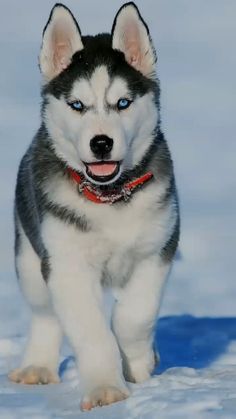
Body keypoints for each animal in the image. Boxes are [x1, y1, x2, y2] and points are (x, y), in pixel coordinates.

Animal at [8, 1, 179, 412]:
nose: (101, 143)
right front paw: (106, 389)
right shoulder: (66, 265)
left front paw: (139, 361)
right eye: (77, 105)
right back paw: (37, 366)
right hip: (29, 257)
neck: (109, 197)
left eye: (123, 103)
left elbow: (134, 315)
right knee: (45, 314)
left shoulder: (157, 249)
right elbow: (91, 331)